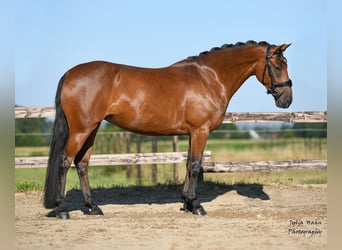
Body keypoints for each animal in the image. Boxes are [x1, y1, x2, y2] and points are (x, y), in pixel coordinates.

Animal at [44, 40, 292, 217]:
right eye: (277, 66)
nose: (287, 99)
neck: (209, 77)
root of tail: (70, 73)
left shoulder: (193, 133)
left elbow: (189, 164)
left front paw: (186, 204)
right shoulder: (200, 131)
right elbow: (195, 165)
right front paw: (196, 206)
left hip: (92, 129)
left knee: (82, 163)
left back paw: (92, 207)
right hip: (81, 130)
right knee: (65, 162)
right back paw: (62, 209)